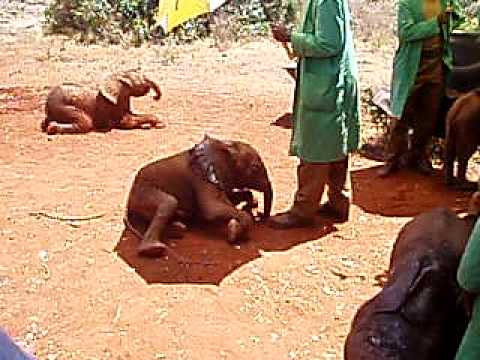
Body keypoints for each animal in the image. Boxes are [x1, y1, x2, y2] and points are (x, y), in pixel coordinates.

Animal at [124, 134, 274, 256]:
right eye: (255, 168)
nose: (260, 216)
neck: (223, 145)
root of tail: (128, 208)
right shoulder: (201, 177)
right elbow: (212, 209)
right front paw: (233, 233)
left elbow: (230, 198)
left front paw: (250, 205)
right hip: (143, 194)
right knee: (169, 202)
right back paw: (154, 249)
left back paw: (178, 227)